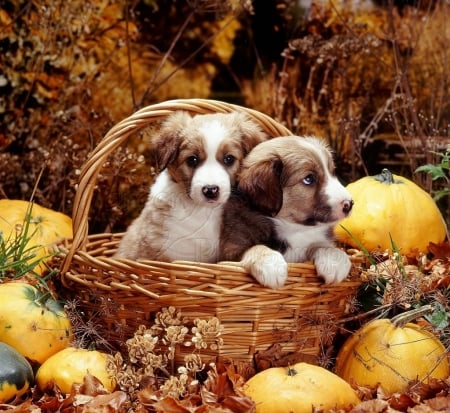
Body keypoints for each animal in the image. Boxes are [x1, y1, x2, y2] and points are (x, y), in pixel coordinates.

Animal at [220, 135, 354, 286]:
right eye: (309, 179)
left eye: (332, 173)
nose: (350, 204)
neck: (294, 228)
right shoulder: (230, 251)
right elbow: (254, 247)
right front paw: (270, 264)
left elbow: (322, 246)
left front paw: (335, 261)